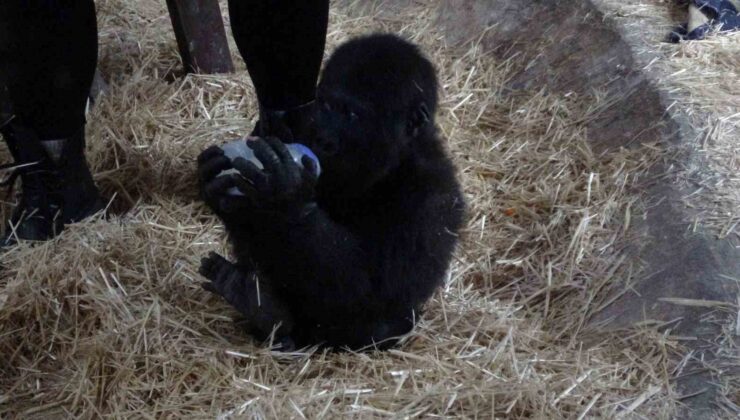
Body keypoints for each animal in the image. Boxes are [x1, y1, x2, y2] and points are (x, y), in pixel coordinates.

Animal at [197, 33, 462, 352]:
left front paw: (287, 198)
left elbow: (372, 290)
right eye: (325, 106)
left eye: (351, 114)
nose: (323, 136)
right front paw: (221, 191)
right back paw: (258, 303)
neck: (394, 160)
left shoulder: (431, 197)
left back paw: (268, 312)